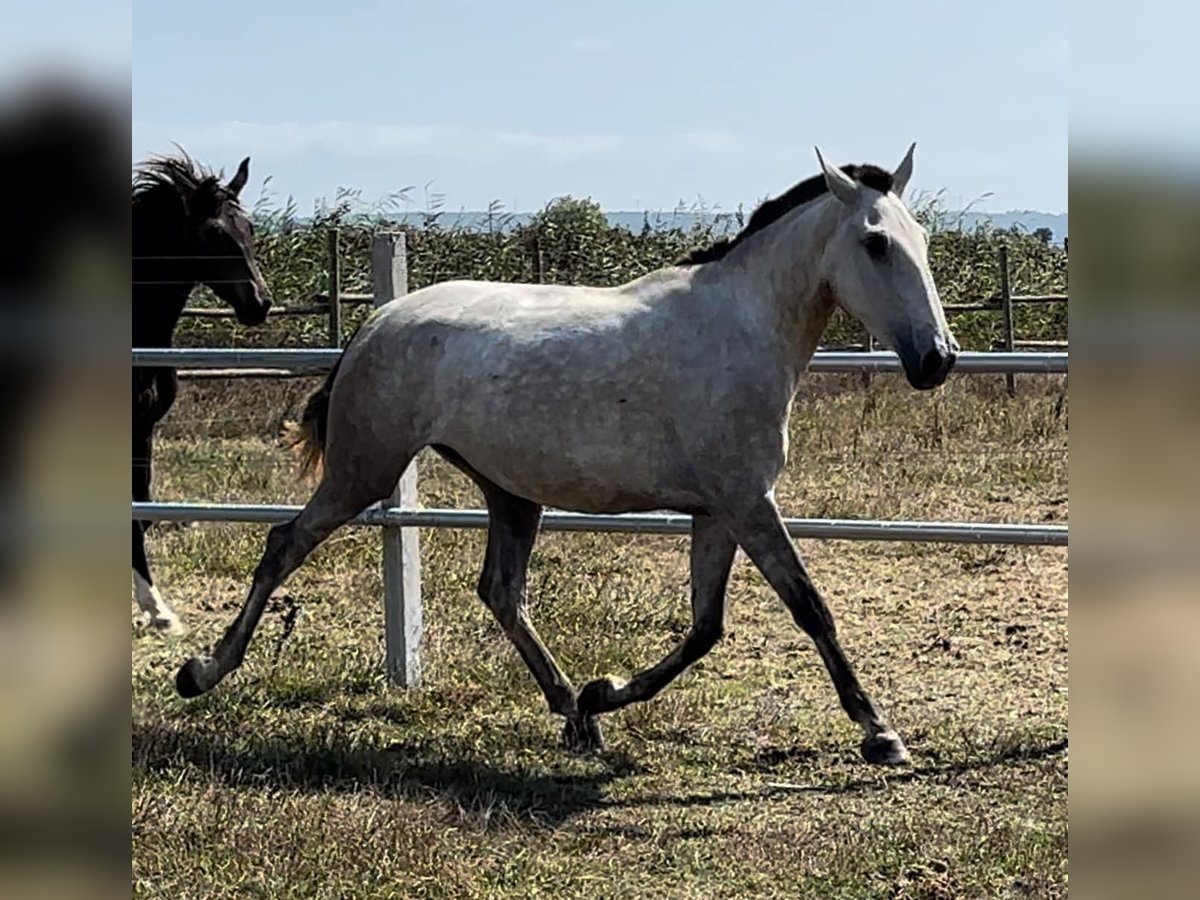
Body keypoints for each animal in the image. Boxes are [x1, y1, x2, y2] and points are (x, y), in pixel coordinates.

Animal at [133, 154, 272, 633]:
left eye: (250, 228)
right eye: (213, 232)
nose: (259, 303)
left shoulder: (142, 429)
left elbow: (141, 510)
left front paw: (157, 610)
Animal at [175, 144, 955, 763]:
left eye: (922, 237)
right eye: (876, 243)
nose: (936, 359)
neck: (740, 327)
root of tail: (374, 323)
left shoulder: (719, 510)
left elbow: (706, 627)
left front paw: (603, 690)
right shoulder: (747, 503)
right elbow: (809, 608)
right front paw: (880, 733)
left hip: (509, 492)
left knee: (500, 590)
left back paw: (576, 714)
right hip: (363, 471)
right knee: (284, 543)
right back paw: (202, 672)